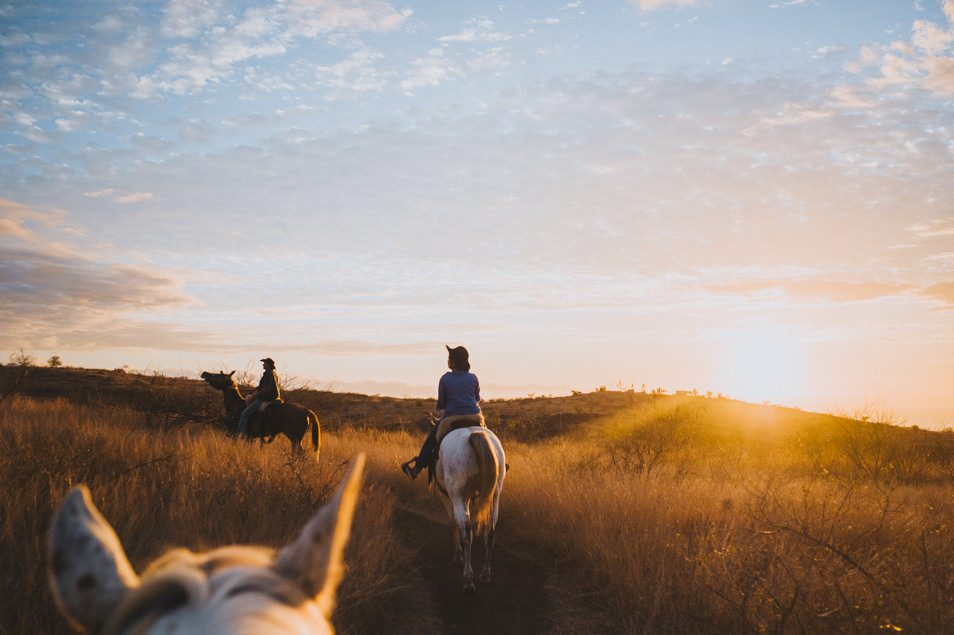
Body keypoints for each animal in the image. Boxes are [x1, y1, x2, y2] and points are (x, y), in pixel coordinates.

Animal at [434, 424, 506, 592]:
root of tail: (475, 434)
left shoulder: (447, 496)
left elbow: (453, 522)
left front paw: (458, 554)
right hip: (495, 496)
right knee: (490, 532)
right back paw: (485, 574)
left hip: (458, 495)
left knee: (468, 535)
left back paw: (468, 579)